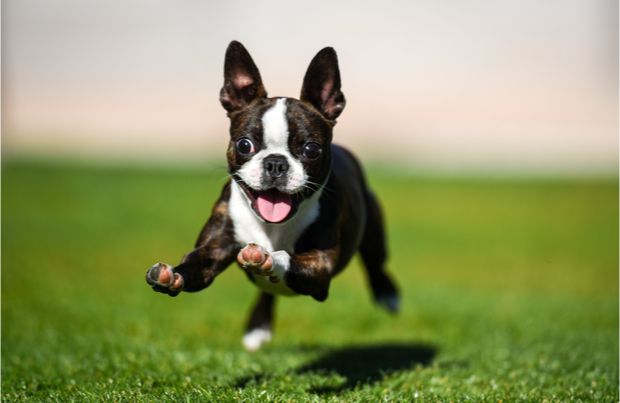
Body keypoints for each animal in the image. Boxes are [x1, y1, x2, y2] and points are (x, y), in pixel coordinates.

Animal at [146, 40, 400, 350]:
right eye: (244, 144)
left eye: (311, 149)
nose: (276, 163)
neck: (272, 227)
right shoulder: (214, 248)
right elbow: (196, 264)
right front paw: (172, 275)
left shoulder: (320, 265)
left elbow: (286, 257)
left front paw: (266, 257)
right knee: (268, 291)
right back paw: (258, 327)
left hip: (374, 232)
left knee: (376, 263)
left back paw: (388, 295)